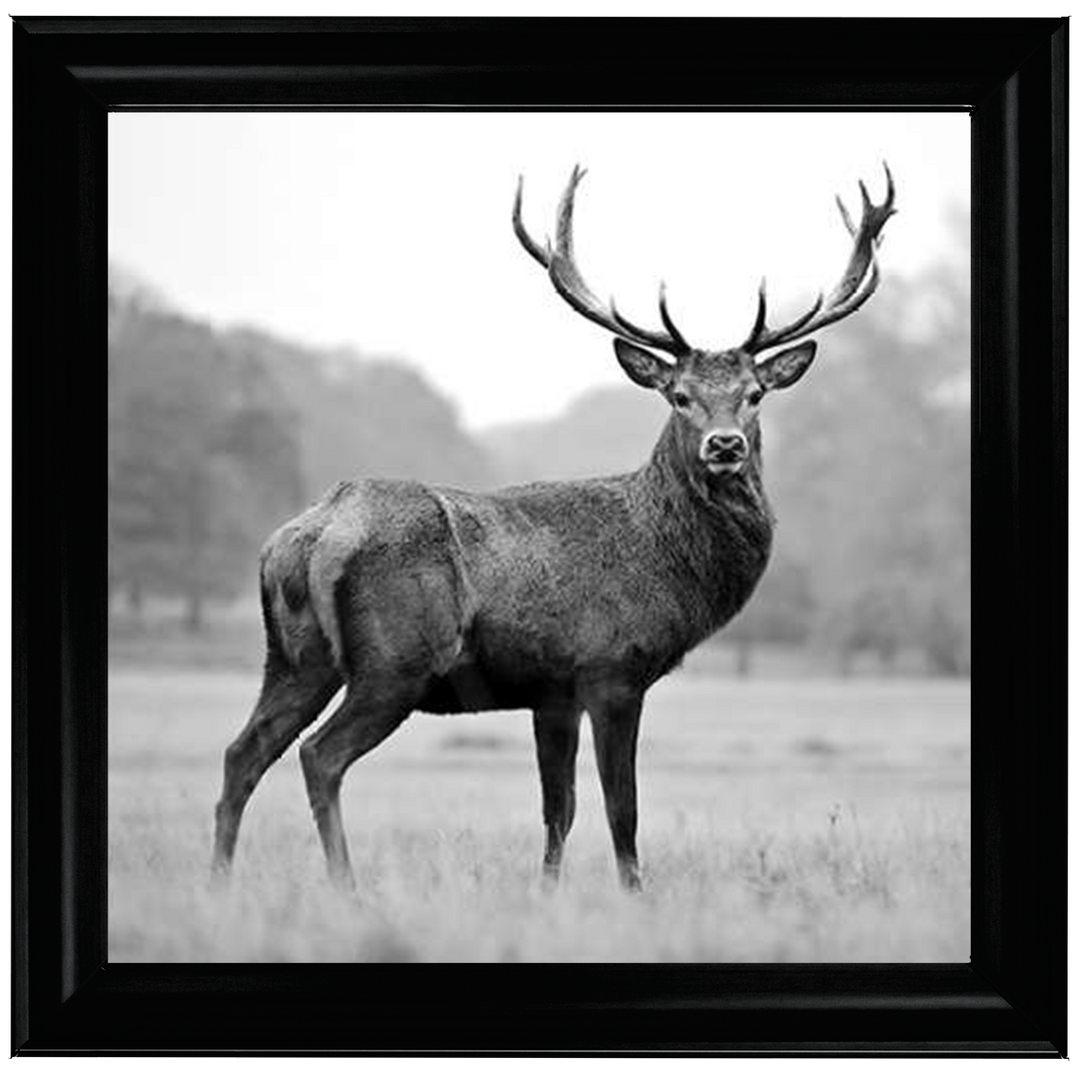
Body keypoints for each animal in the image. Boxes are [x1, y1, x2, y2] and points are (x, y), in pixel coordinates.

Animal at [211, 164, 896, 892]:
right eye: (678, 395)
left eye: (755, 394)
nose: (725, 445)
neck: (666, 562)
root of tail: (312, 533)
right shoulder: (612, 669)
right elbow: (622, 807)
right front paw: (635, 895)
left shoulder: (552, 692)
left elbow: (557, 809)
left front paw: (548, 892)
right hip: (395, 661)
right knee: (319, 755)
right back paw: (346, 887)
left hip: (294, 656)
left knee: (242, 752)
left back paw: (219, 880)